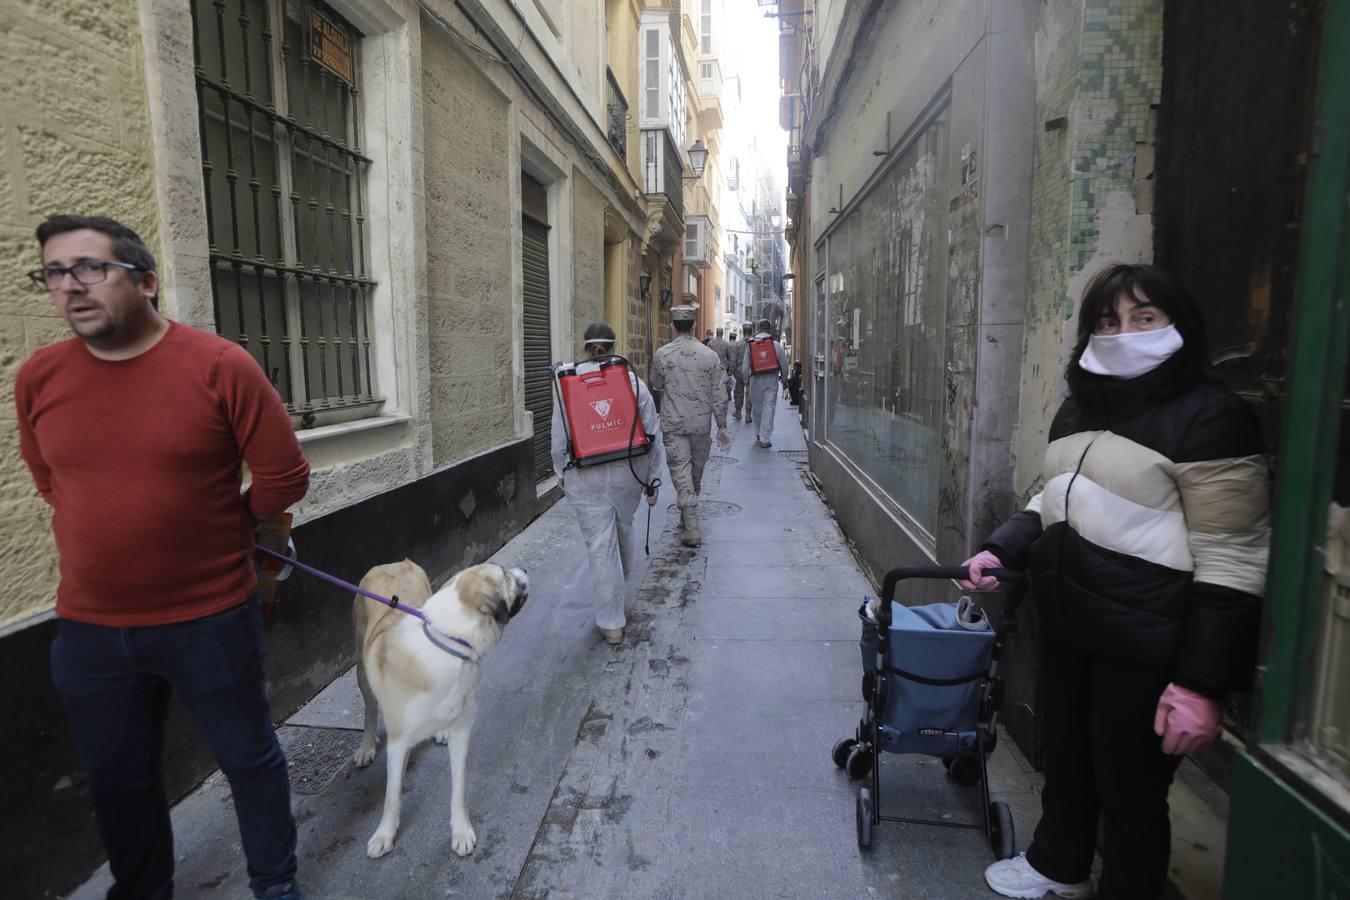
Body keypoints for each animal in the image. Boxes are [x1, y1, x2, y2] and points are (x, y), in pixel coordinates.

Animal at [353, 558, 526, 863]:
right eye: (504, 574)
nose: (524, 571)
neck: (450, 642)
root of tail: (394, 562)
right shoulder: (398, 743)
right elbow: (391, 796)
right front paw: (384, 834)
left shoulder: (462, 731)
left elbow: (458, 789)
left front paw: (461, 831)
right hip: (362, 668)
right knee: (371, 708)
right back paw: (366, 745)